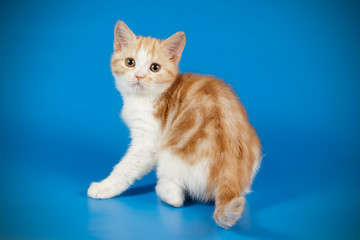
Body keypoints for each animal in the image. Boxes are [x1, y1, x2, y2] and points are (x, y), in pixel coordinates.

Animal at [87, 21, 262, 229]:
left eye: (155, 67)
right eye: (130, 62)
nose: (139, 76)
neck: (147, 96)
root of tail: (229, 170)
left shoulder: (149, 141)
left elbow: (126, 167)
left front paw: (104, 186)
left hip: (171, 152)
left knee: (175, 197)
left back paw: (165, 190)